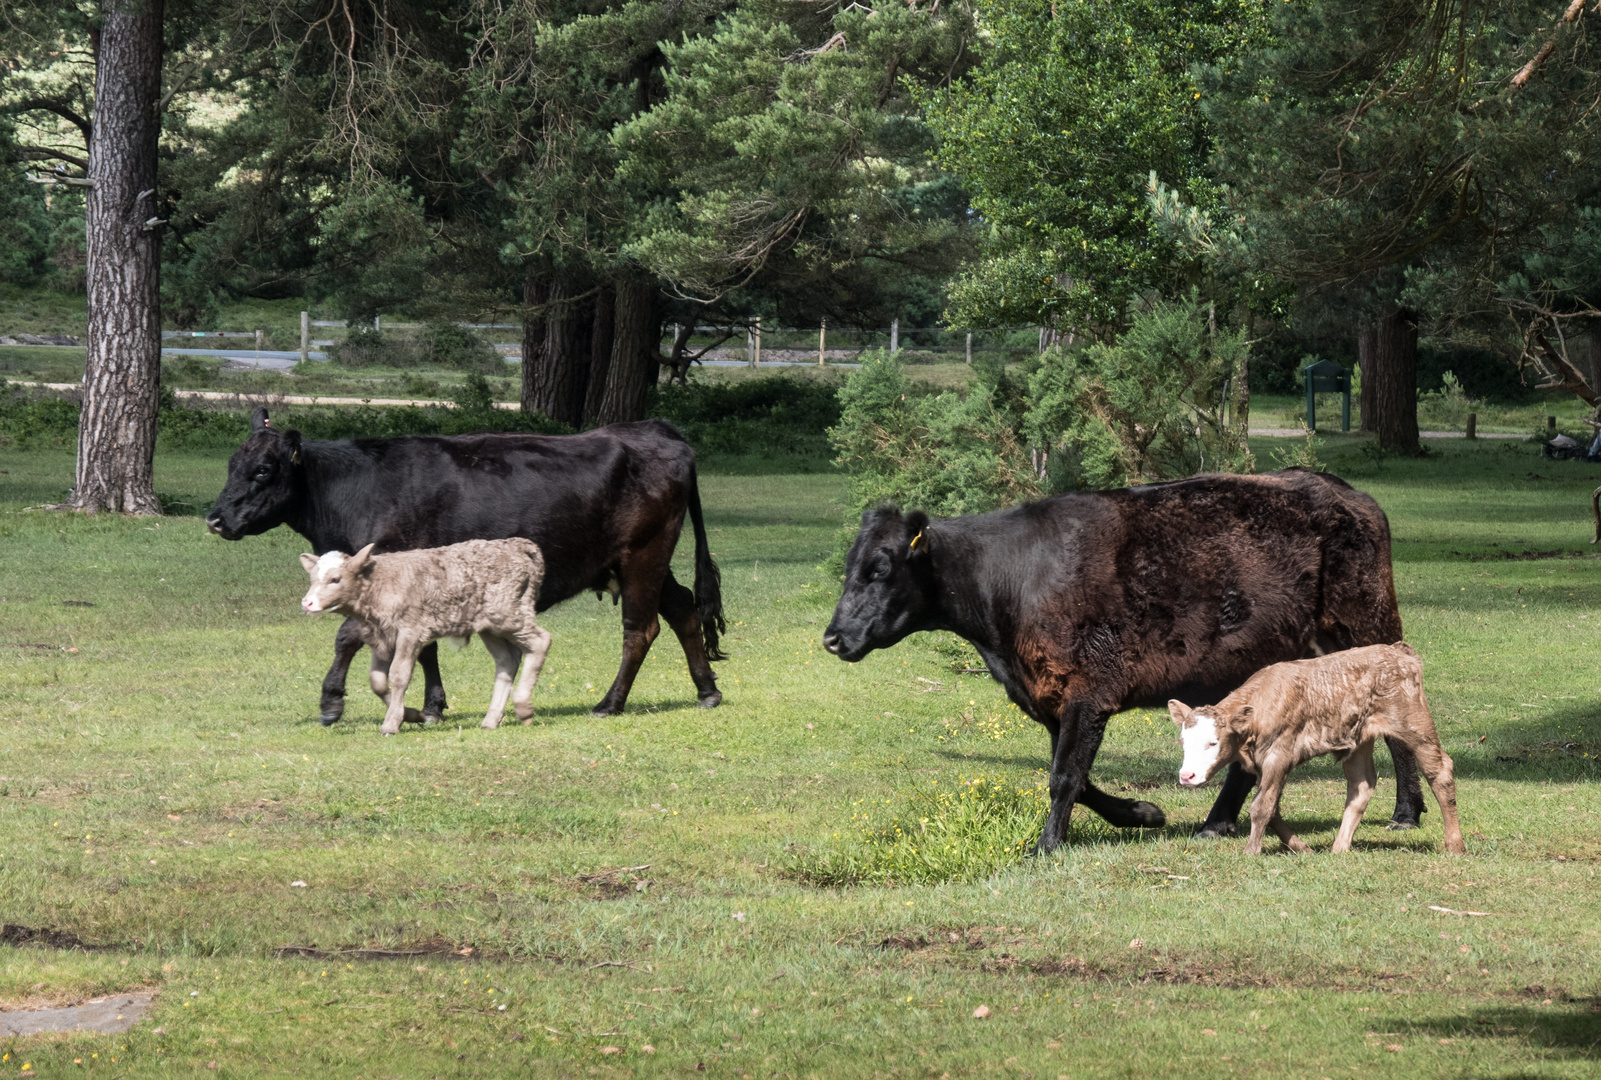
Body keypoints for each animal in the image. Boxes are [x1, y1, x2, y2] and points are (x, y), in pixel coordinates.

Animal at [208, 409, 726, 723]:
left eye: (263, 470)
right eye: (230, 465)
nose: (214, 518)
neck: (356, 489)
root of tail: (655, 428)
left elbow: (348, 635)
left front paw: (331, 700)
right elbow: (423, 649)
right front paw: (431, 706)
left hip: (643, 555)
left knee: (641, 628)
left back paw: (609, 703)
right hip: (642, 561)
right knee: (683, 609)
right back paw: (707, 690)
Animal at [1165, 646, 1466, 857]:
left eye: (1212, 742)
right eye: (1183, 741)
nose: (1187, 776)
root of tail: (1399, 650)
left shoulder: (1279, 755)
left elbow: (1262, 807)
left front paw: (1251, 851)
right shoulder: (1263, 765)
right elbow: (1272, 807)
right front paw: (1302, 847)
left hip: (1413, 723)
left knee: (1439, 770)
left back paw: (1455, 845)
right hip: (1360, 740)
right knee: (1361, 784)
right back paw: (1340, 847)